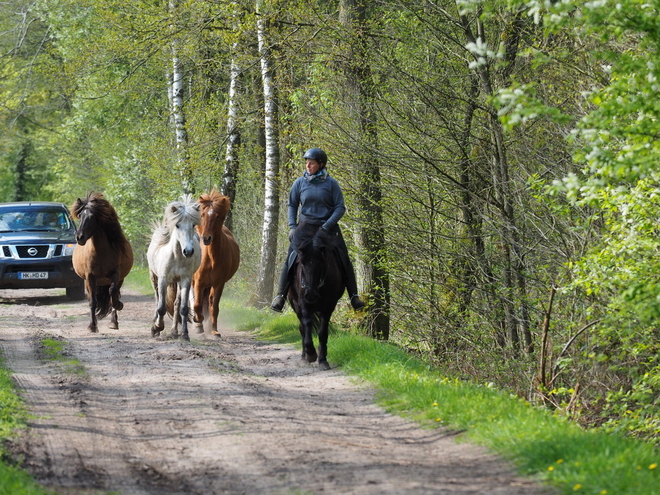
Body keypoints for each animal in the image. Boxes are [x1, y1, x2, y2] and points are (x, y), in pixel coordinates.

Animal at [71, 193, 134, 334]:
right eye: (80, 216)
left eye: (92, 217)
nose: (80, 237)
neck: (100, 252)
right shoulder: (90, 277)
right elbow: (93, 302)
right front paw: (92, 326)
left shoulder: (116, 274)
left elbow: (112, 293)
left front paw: (118, 305)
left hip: (118, 279)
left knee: (114, 294)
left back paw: (113, 322)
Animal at [147, 196, 201, 342]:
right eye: (177, 225)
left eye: (193, 225)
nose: (188, 251)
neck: (176, 257)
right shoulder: (163, 280)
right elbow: (161, 307)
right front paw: (157, 328)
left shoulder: (185, 280)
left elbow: (183, 308)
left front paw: (185, 334)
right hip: (154, 278)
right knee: (157, 299)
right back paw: (156, 326)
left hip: (177, 282)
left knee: (176, 304)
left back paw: (174, 332)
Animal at [192, 189, 241, 338]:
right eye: (202, 214)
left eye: (218, 216)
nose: (206, 238)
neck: (211, 258)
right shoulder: (199, 282)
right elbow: (197, 304)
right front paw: (198, 321)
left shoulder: (218, 284)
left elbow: (214, 307)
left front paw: (214, 331)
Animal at [288, 223, 346, 370]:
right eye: (302, 263)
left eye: (322, 264)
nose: (311, 295)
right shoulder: (303, 302)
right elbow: (307, 325)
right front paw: (311, 354)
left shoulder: (329, 305)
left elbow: (323, 330)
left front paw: (322, 359)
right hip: (296, 304)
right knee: (302, 327)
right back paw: (304, 357)